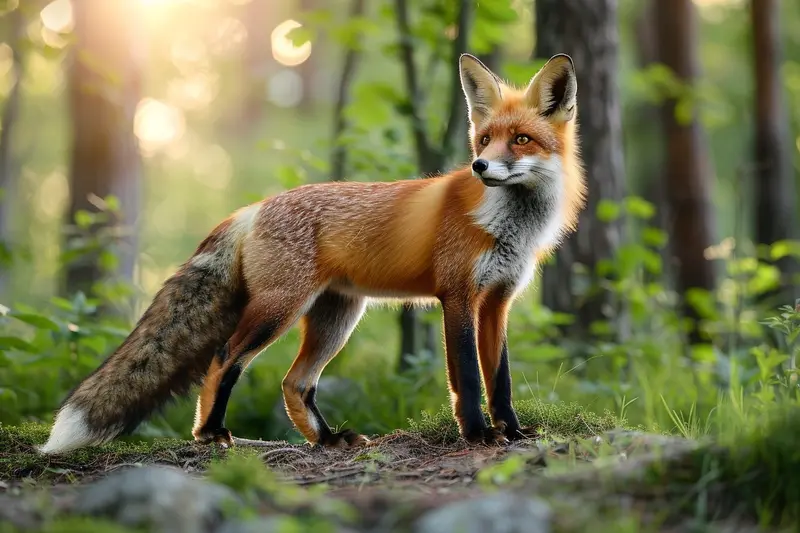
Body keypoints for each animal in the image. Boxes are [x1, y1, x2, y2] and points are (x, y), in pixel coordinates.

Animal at [39, 52, 586, 454]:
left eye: (521, 140)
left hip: (337, 317)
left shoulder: (497, 302)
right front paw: (477, 434)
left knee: (294, 382)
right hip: (280, 309)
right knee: (224, 358)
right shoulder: (458, 297)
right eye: (484, 139)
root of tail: (253, 207)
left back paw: (327, 440)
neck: (509, 227)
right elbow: (470, 379)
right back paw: (211, 433)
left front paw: (512, 430)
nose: (479, 166)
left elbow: (502, 380)